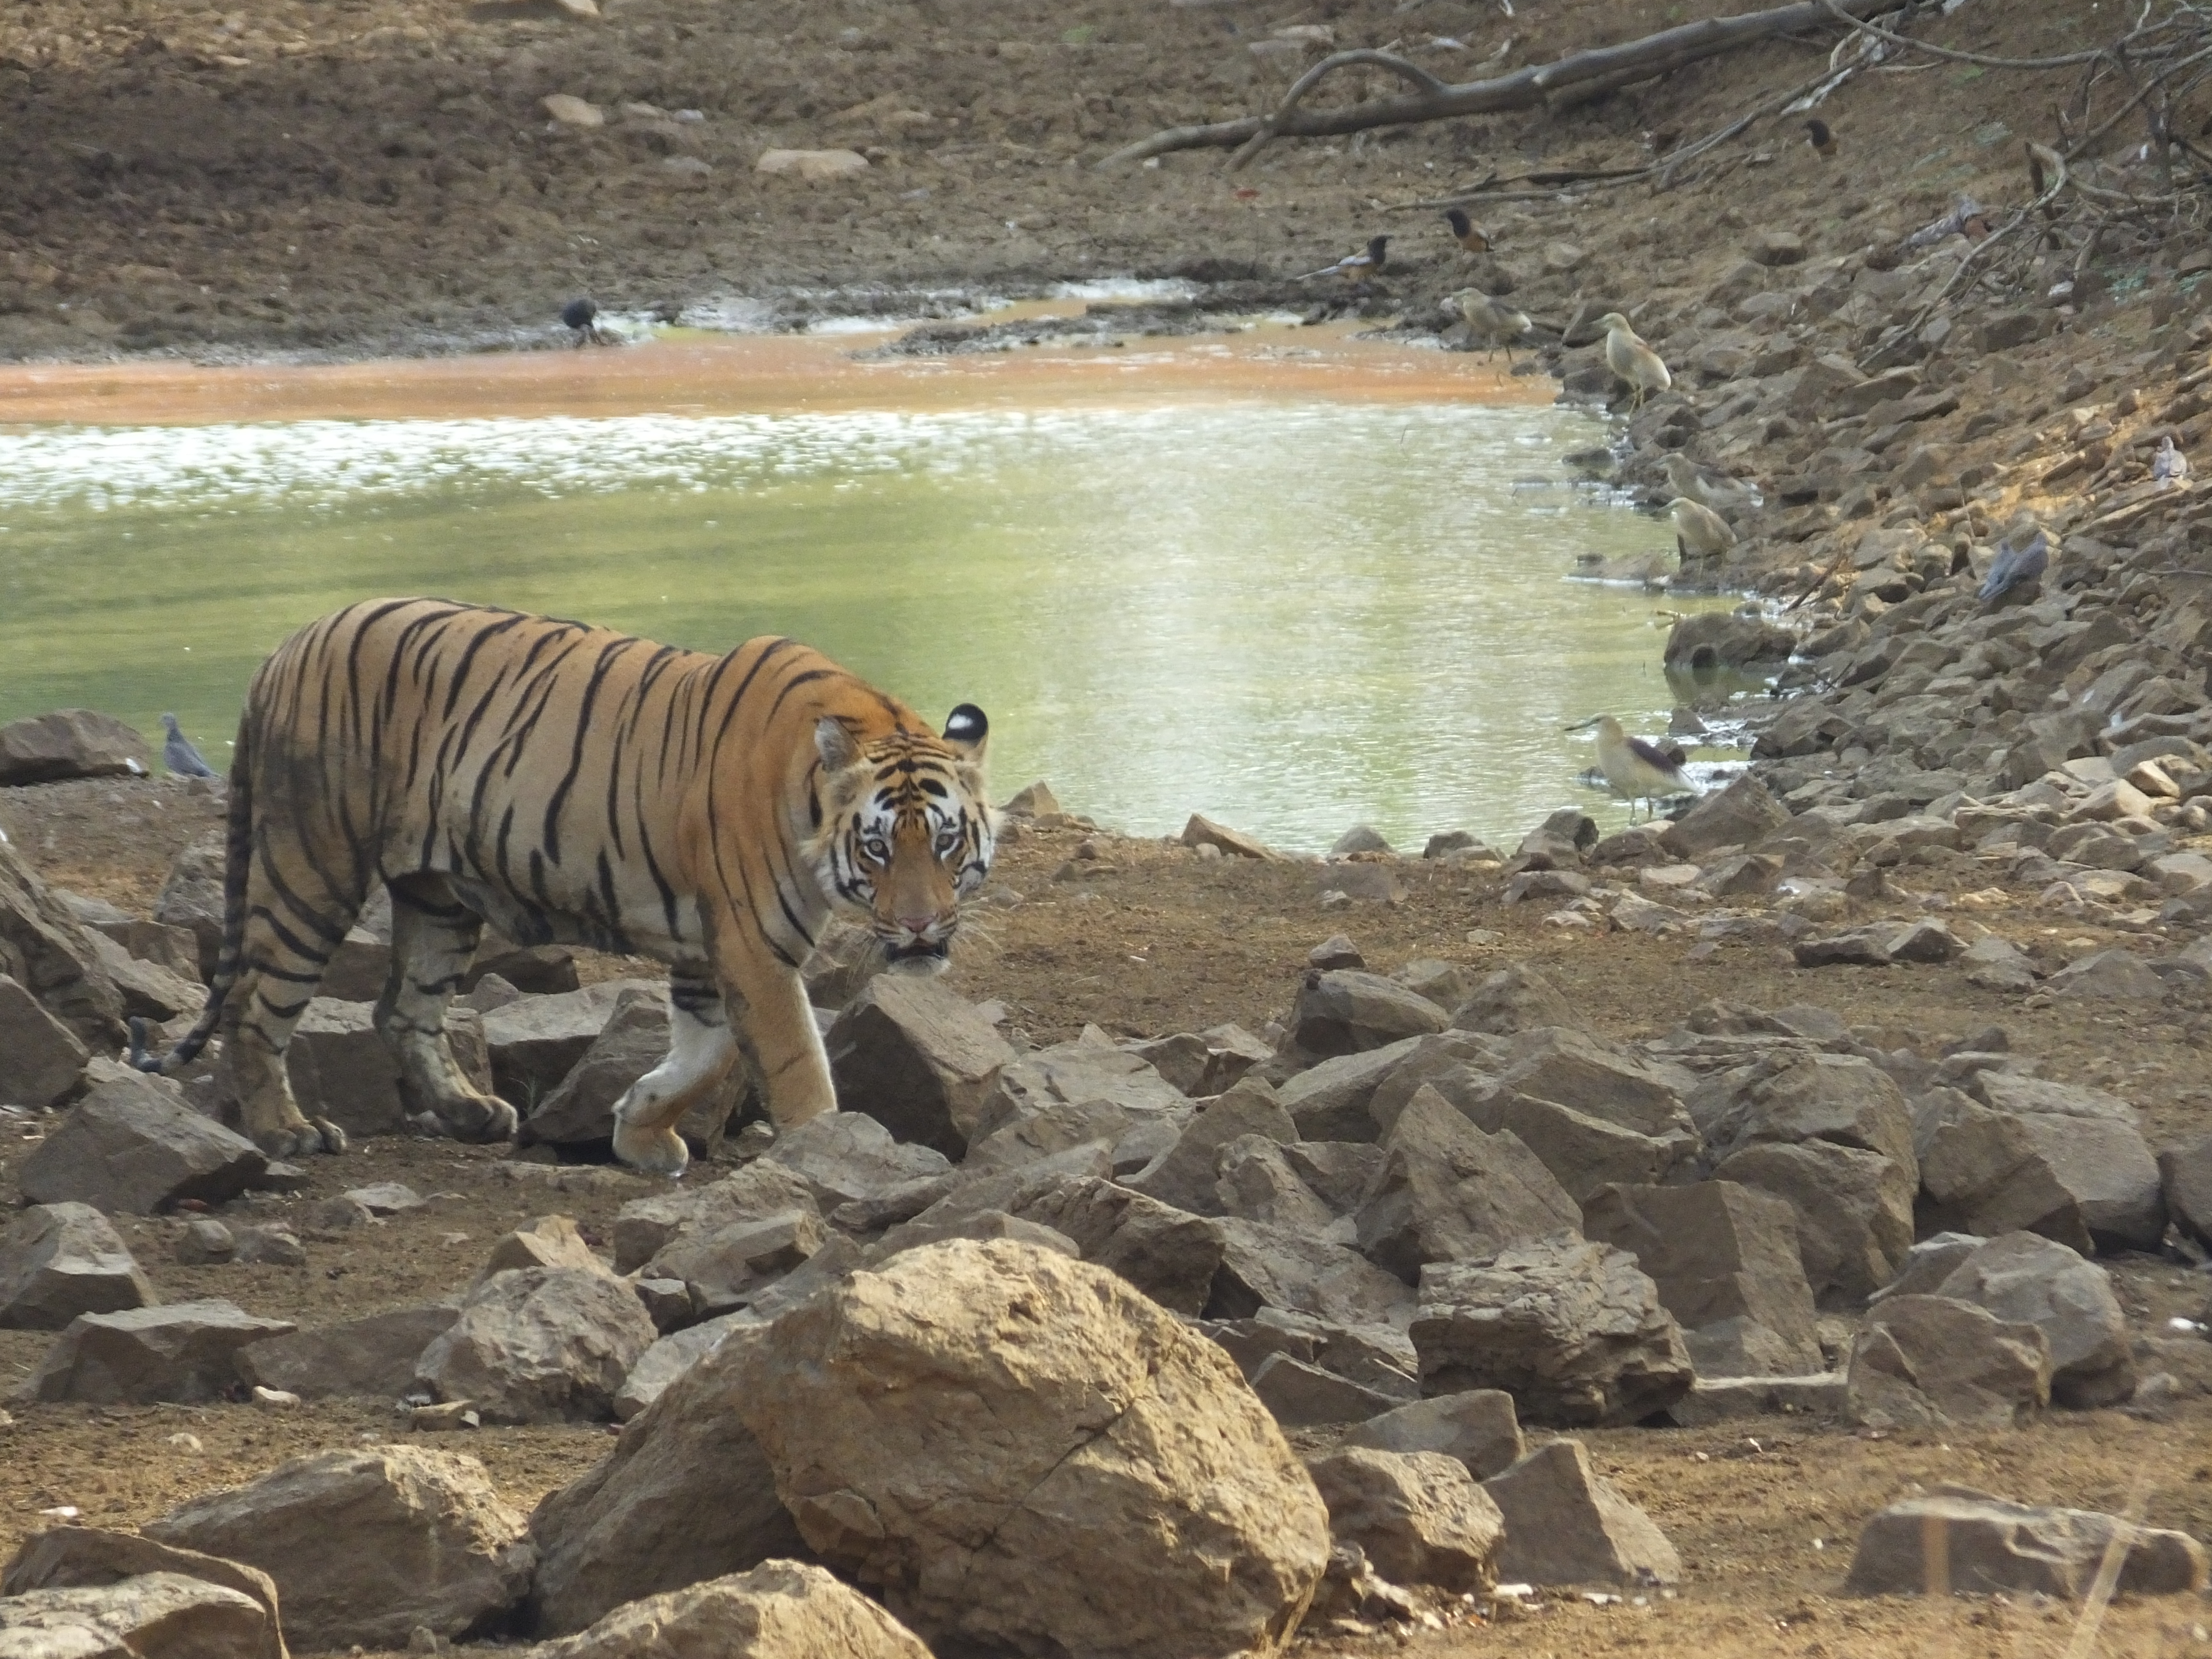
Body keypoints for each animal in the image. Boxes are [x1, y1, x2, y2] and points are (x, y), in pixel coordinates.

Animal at [132, 597, 996, 1177]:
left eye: (946, 843)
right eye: (878, 849)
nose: (922, 929)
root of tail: (285, 649)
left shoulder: (710, 948)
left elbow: (704, 1056)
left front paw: (640, 1131)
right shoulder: (753, 943)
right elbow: (792, 1061)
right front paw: (832, 1150)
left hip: (437, 894)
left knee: (402, 1008)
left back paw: (471, 1112)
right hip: (313, 865)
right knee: (254, 1005)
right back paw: (287, 1132)